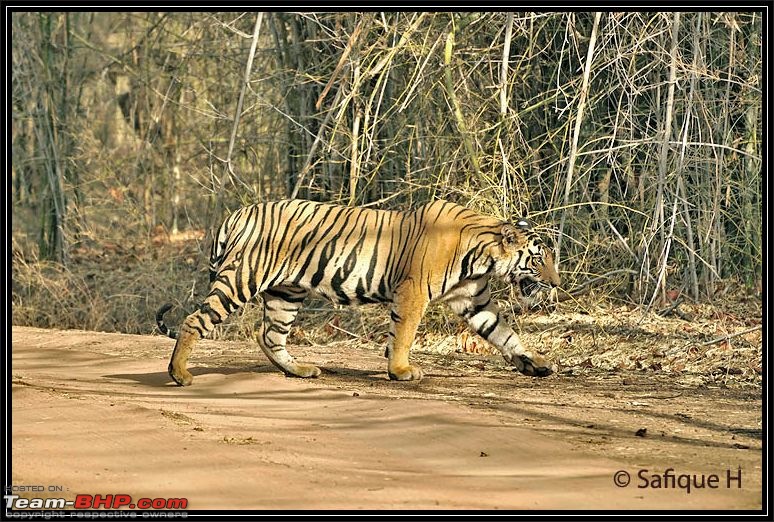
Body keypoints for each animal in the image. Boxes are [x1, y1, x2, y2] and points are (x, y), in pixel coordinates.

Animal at [155, 197, 560, 384]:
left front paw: (536, 363)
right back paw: (180, 374)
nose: (556, 284)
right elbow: (404, 334)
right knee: (194, 321)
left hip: (286, 293)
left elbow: (505, 334)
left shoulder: (472, 300)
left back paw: (301, 370)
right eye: (538, 259)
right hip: (242, 279)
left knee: (269, 336)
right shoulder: (413, 292)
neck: (483, 256)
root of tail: (238, 213)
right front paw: (401, 371)